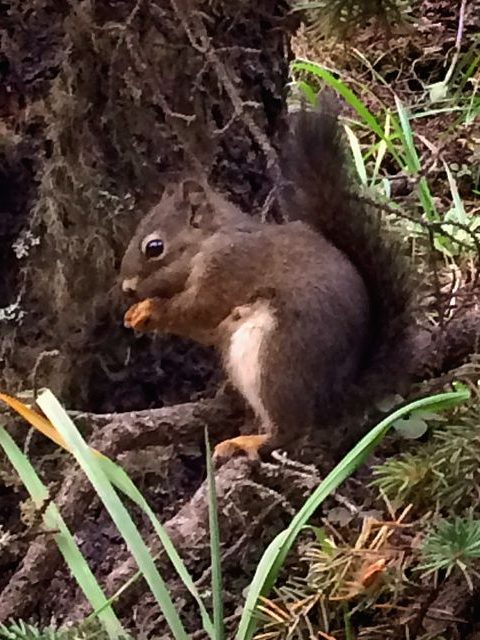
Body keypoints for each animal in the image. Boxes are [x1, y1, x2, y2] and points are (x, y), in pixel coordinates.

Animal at [119, 94, 412, 460]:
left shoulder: (229, 268)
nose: (126, 287)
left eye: (154, 247)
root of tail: (338, 395)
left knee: (291, 429)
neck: (209, 241)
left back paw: (246, 442)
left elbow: (198, 310)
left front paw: (149, 312)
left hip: (275, 359)